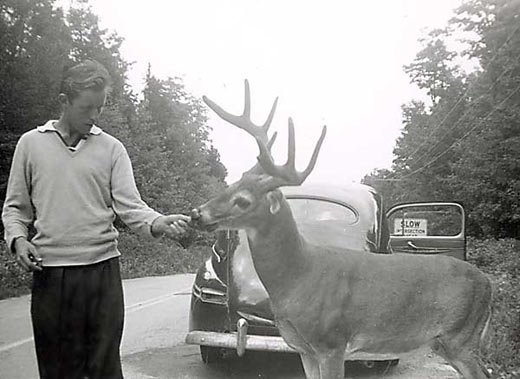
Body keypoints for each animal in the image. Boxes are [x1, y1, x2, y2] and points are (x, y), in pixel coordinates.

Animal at [191, 80, 492, 379]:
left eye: (243, 200)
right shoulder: (303, 348)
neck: (298, 276)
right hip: (446, 342)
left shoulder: (332, 342)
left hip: (461, 336)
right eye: (229, 186)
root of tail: (489, 284)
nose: (197, 213)